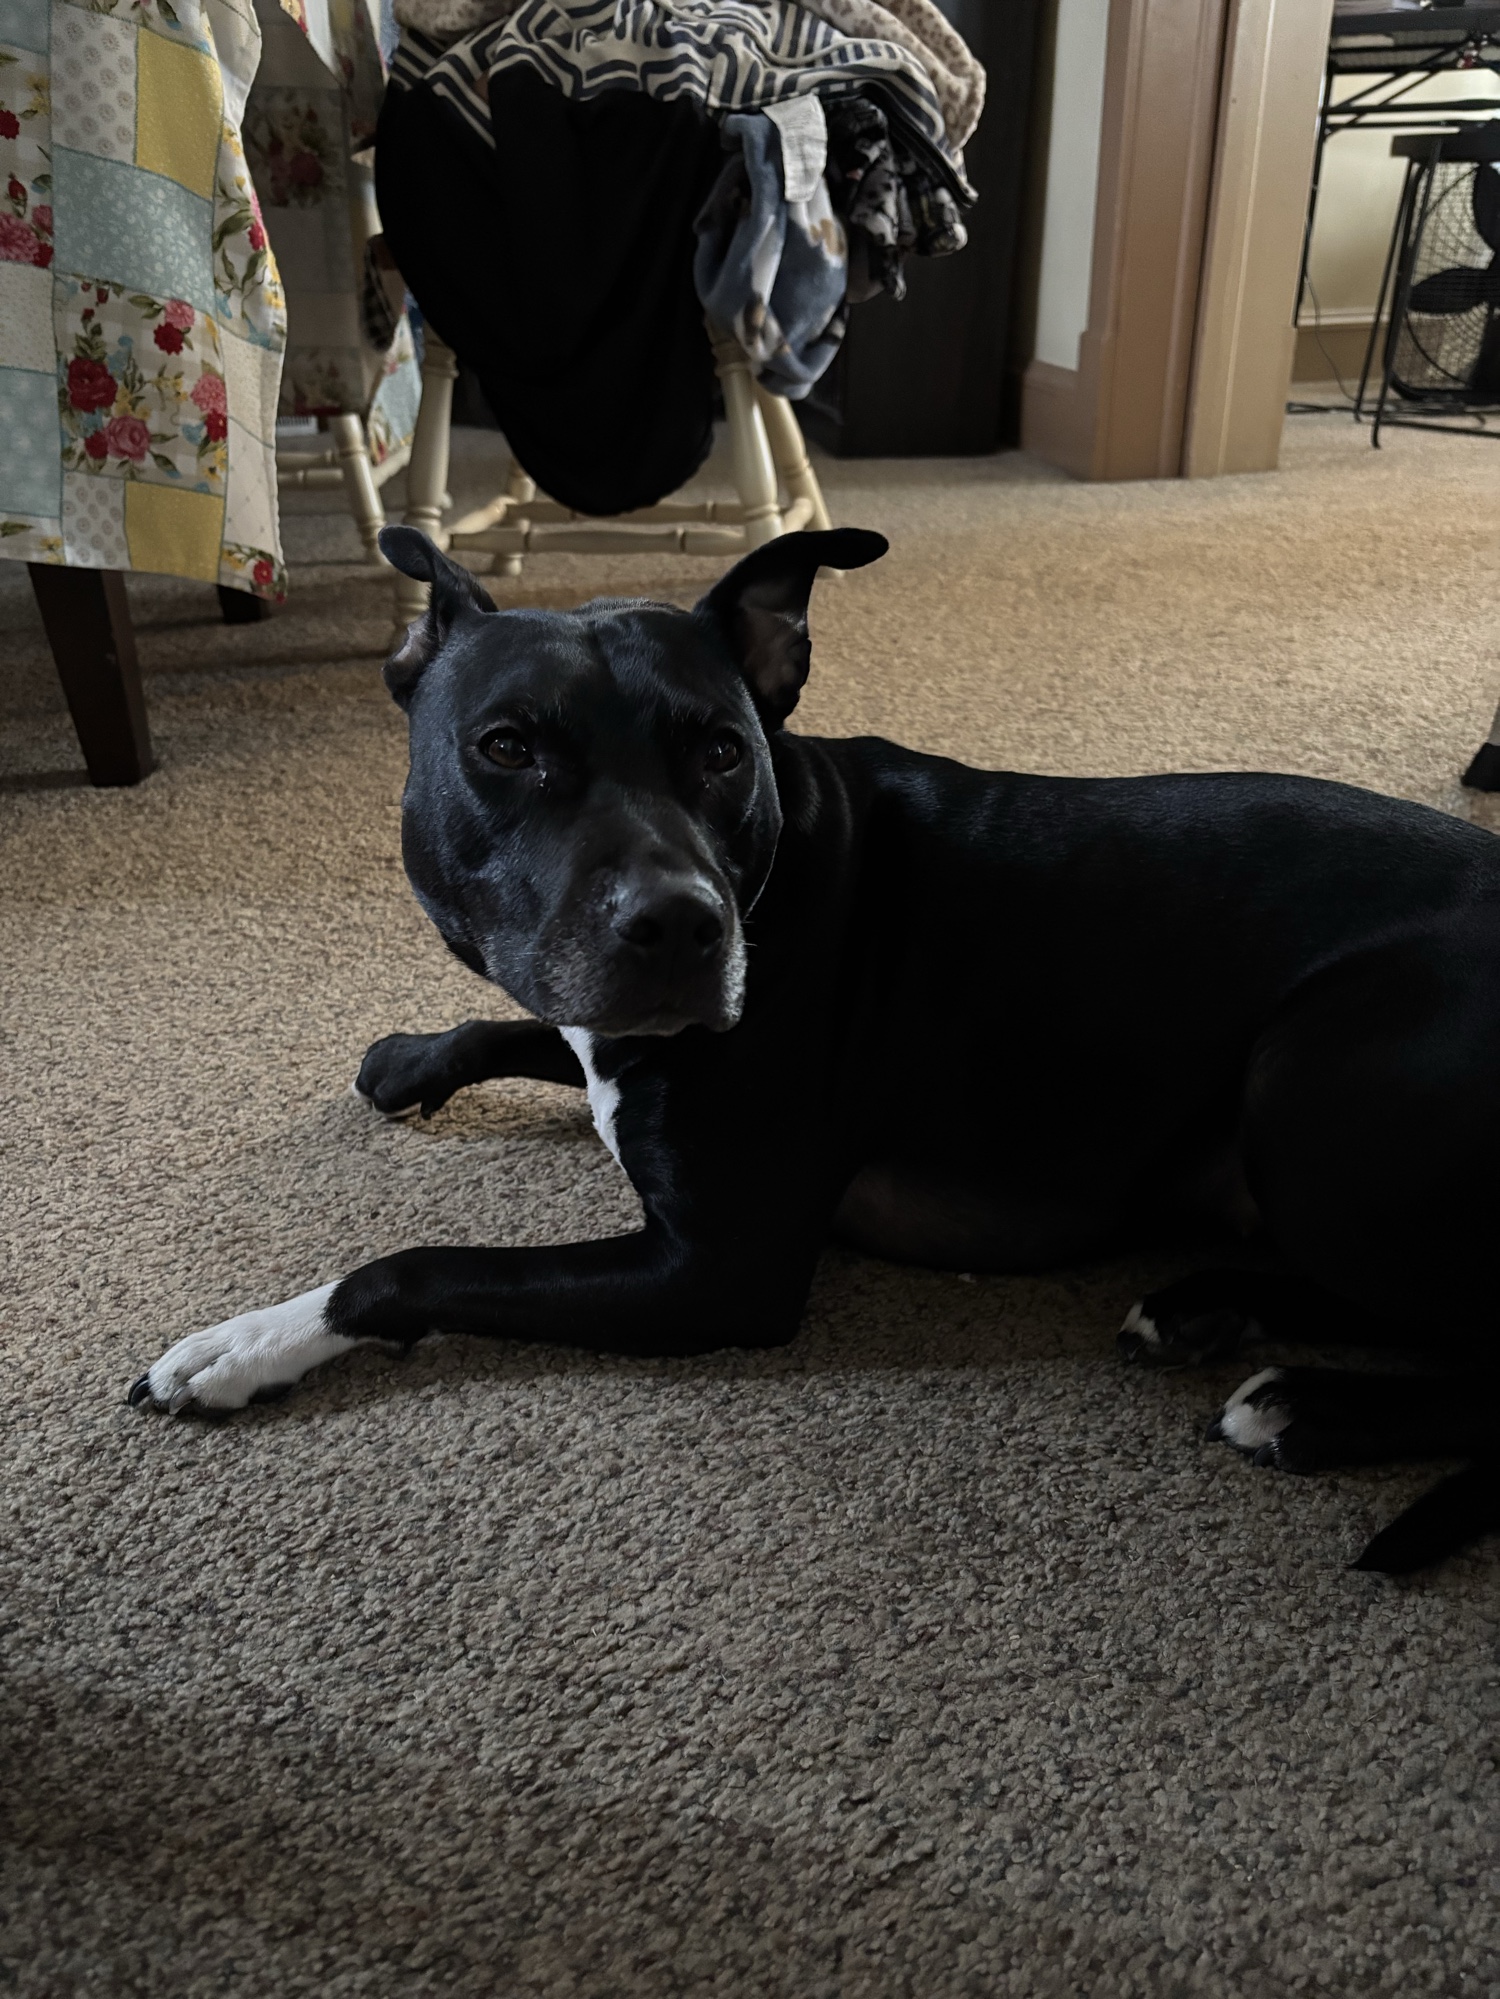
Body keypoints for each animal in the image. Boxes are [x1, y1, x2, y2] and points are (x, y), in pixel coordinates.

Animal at [132, 526, 1500, 1572]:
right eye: (508, 746)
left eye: (721, 751)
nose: (681, 923)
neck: (778, 874)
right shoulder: (609, 1030)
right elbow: (525, 1024)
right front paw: (414, 1057)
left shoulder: (715, 1269)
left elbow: (414, 1265)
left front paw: (246, 1345)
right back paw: (1203, 1305)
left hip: (1307, 1075)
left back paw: (1309, 1403)